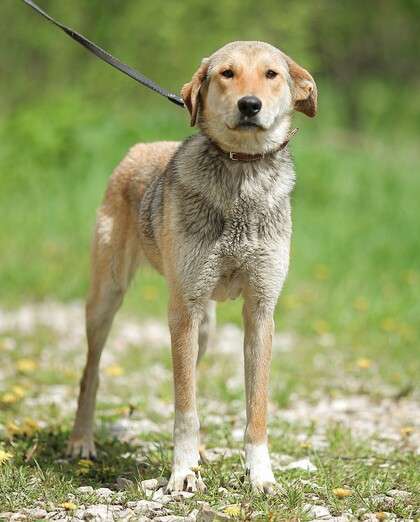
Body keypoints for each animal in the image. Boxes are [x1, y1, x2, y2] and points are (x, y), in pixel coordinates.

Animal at [67, 40, 316, 492]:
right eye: (227, 73)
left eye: (271, 74)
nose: (250, 105)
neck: (242, 172)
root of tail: (139, 148)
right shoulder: (183, 310)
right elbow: (185, 408)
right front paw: (182, 474)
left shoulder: (260, 311)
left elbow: (256, 408)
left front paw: (260, 476)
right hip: (108, 299)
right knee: (91, 373)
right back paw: (82, 441)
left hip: (205, 327)